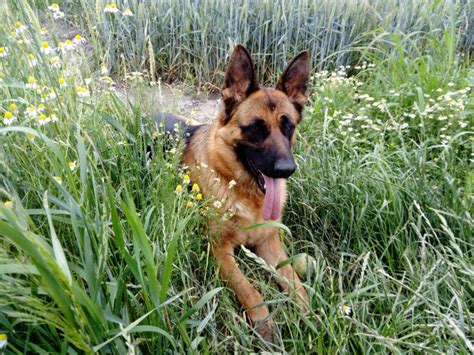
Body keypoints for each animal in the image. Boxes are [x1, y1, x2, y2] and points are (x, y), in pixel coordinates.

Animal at [161, 45, 312, 342]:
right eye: (255, 128)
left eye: (288, 126)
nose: (286, 170)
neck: (245, 195)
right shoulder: (219, 250)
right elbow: (248, 288)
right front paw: (266, 325)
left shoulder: (270, 243)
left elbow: (294, 280)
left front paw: (312, 315)